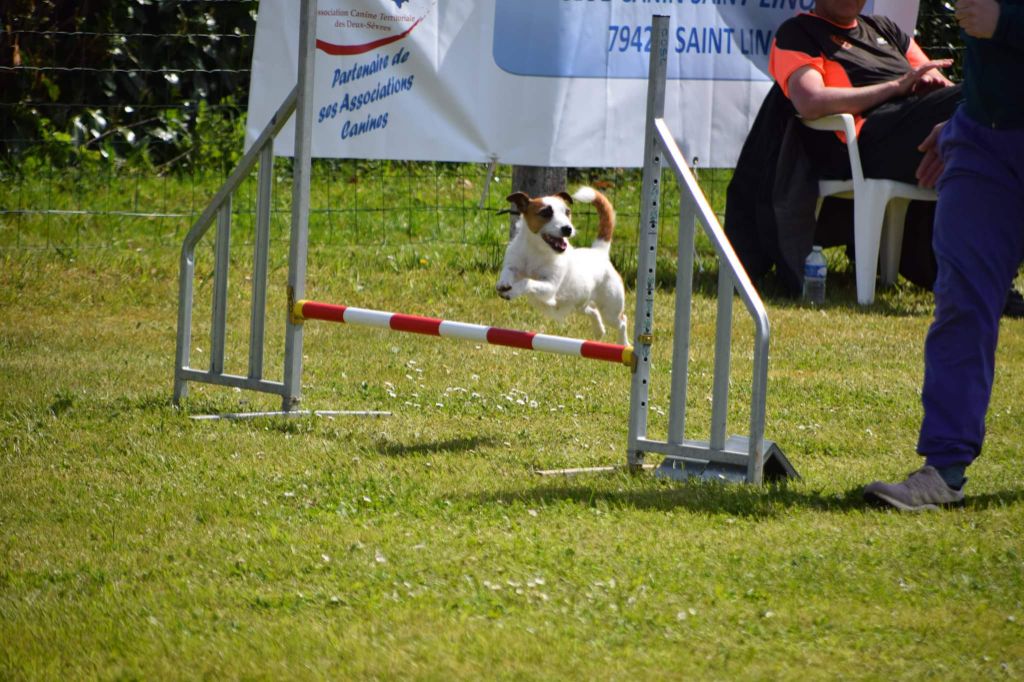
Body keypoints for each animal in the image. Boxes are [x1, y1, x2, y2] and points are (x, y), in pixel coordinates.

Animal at [493, 186, 626, 342]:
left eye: (567, 212)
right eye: (545, 212)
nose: (568, 229)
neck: (537, 251)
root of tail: (598, 252)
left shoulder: (550, 287)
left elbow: (527, 281)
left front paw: (512, 291)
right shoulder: (514, 263)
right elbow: (508, 270)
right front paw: (503, 283)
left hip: (610, 310)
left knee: (622, 321)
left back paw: (624, 343)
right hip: (579, 305)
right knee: (592, 311)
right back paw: (599, 330)